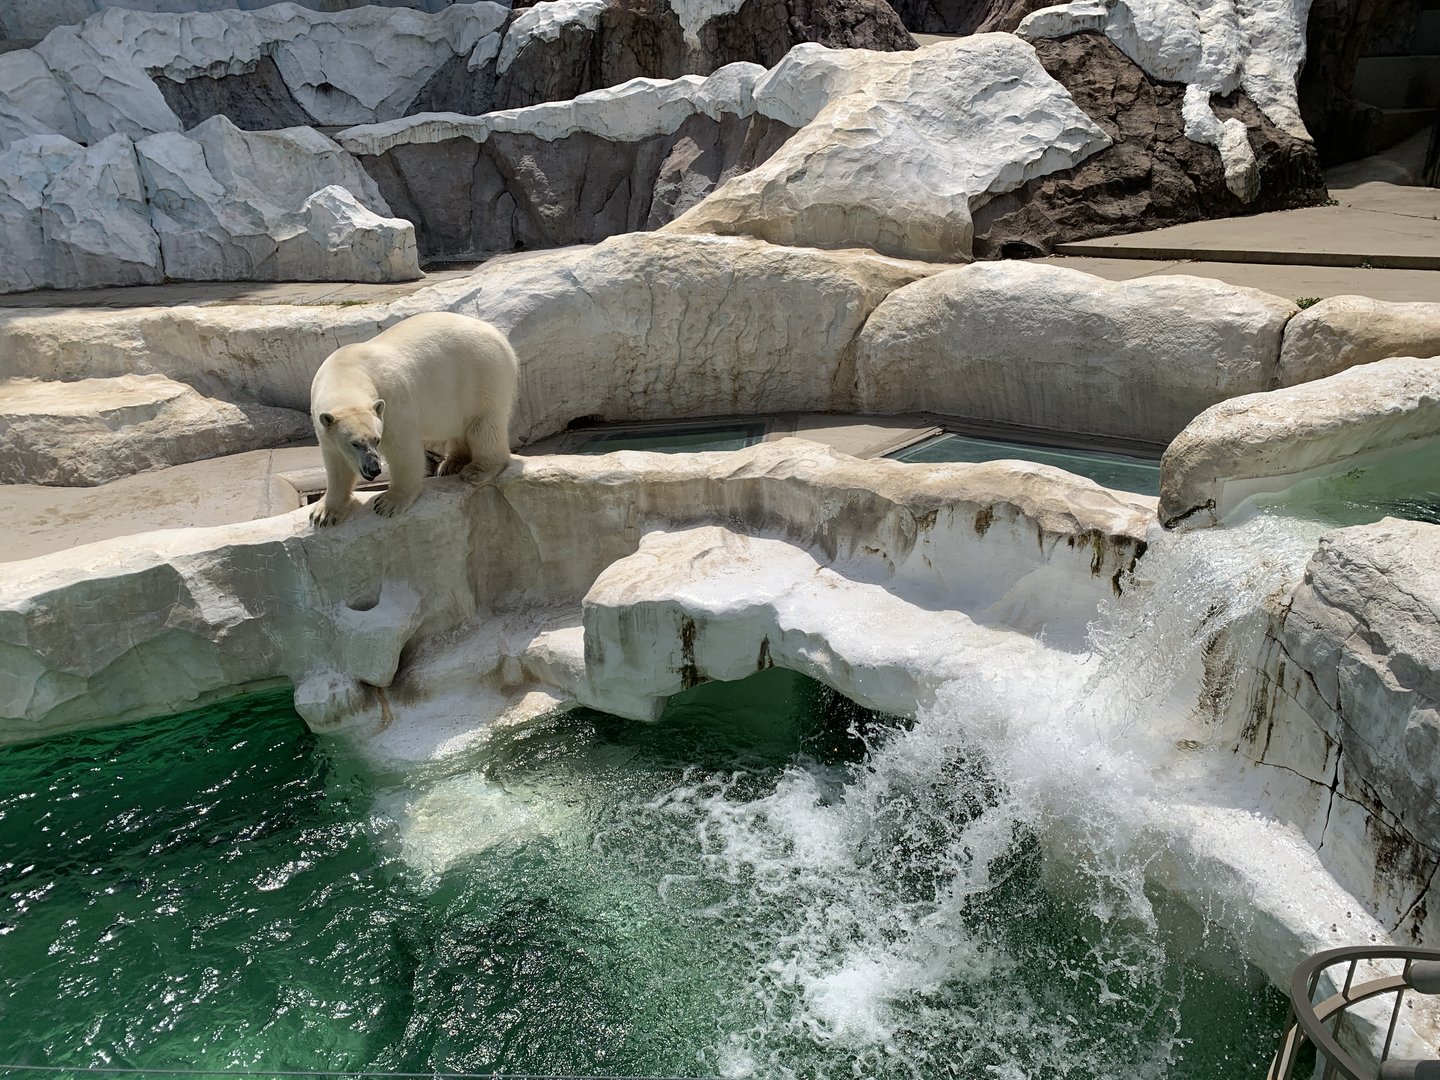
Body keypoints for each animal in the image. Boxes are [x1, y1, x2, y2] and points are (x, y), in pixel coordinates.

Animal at [309, 311, 518, 527]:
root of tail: (499, 335)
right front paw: (324, 513)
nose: (374, 469)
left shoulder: (392, 398)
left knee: (484, 424)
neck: (345, 372)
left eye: (377, 439)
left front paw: (387, 503)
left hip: (482, 374)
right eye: (355, 443)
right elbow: (336, 464)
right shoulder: (324, 426)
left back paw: (476, 470)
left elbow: (403, 448)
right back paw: (451, 464)